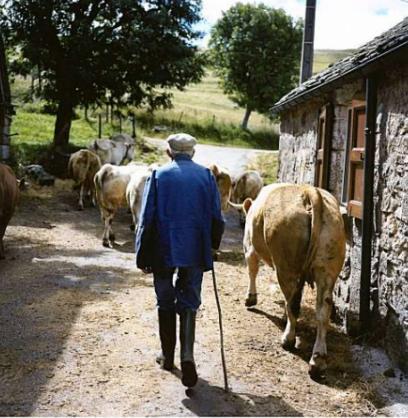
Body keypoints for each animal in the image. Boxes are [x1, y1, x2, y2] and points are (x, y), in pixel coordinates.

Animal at [241, 183, 346, 378]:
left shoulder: (249, 247)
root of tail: (309, 191)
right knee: (322, 310)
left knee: (293, 303)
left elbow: (252, 270)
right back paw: (318, 359)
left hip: (285, 266)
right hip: (327, 268)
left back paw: (288, 338)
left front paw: (250, 299)